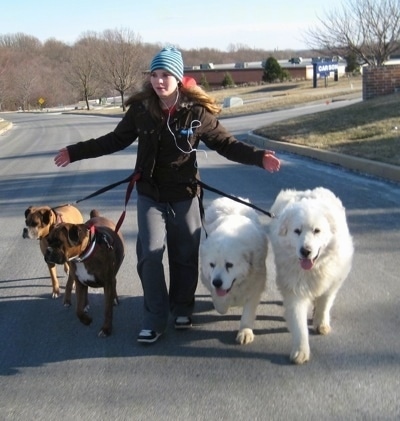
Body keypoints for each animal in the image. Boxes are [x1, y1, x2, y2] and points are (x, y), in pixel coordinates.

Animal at [43, 210, 125, 338]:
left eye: (59, 242)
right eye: (48, 241)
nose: (48, 250)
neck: (84, 255)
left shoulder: (108, 283)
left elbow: (107, 310)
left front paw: (106, 329)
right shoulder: (79, 283)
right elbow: (78, 310)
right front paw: (86, 320)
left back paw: (114, 299)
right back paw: (82, 303)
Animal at [200, 195, 268, 342]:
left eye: (229, 265)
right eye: (212, 265)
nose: (217, 282)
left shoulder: (255, 284)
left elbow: (248, 310)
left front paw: (245, 332)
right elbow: (220, 305)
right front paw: (224, 303)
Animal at [268, 185, 354, 362]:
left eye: (317, 231)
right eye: (297, 231)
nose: (305, 251)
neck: (315, 267)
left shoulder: (332, 282)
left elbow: (324, 303)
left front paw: (321, 323)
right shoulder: (294, 288)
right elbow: (298, 322)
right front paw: (301, 351)